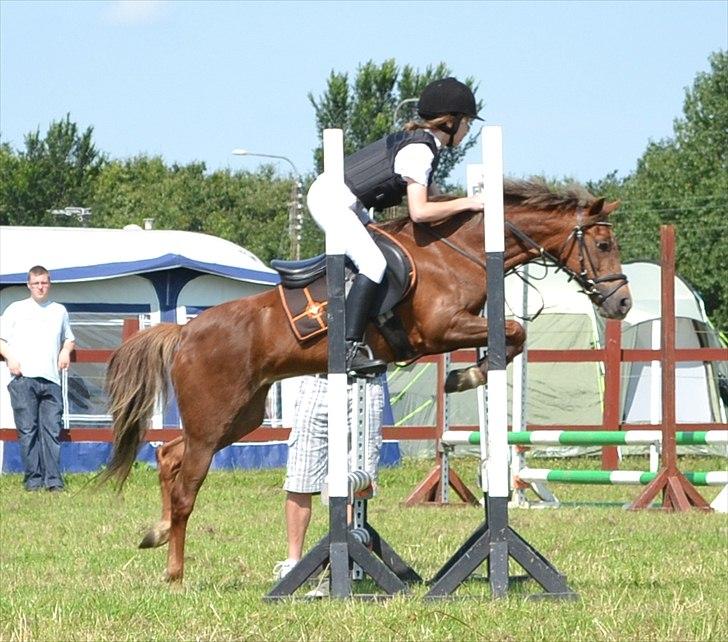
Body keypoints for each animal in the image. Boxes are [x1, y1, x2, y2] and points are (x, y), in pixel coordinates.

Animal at [101, 176, 632, 580]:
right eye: (603, 244)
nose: (622, 303)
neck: (456, 253)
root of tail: (186, 331)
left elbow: (514, 334)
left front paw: (465, 375)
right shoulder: (439, 329)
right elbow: (516, 331)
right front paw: (465, 377)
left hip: (239, 416)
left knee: (169, 456)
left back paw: (156, 533)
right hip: (214, 419)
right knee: (185, 486)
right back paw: (174, 571)